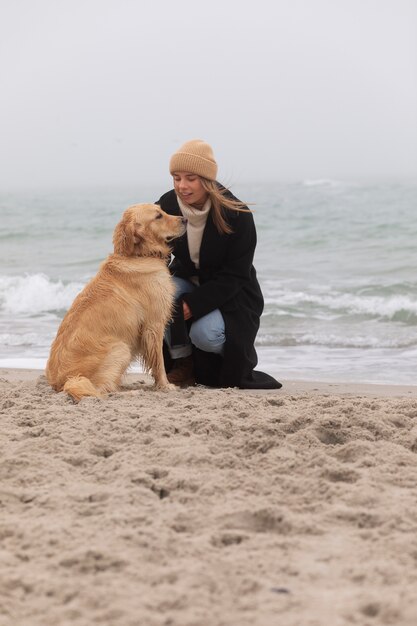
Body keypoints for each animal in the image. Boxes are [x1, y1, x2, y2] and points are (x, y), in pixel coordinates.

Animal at [45, 204, 185, 400]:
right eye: (158, 216)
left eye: (162, 210)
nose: (185, 219)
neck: (139, 255)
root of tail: (63, 382)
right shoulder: (154, 325)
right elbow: (159, 363)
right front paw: (165, 385)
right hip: (121, 348)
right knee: (104, 391)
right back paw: (133, 392)